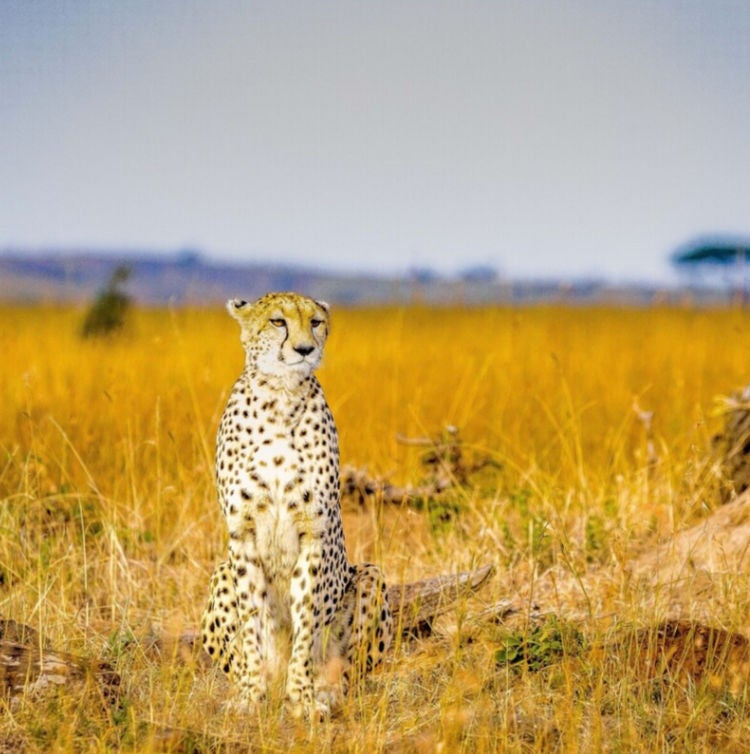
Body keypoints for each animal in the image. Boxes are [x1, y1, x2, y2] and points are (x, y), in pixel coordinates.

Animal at [203, 290, 396, 712]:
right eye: (278, 321)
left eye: (316, 322)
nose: (305, 349)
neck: (280, 396)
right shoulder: (242, 532)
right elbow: (252, 618)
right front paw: (251, 694)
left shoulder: (313, 532)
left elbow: (307, 616)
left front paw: (304, 697)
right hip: (220, 572)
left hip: (370, 575)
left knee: (349, 671)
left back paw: (327, 689)